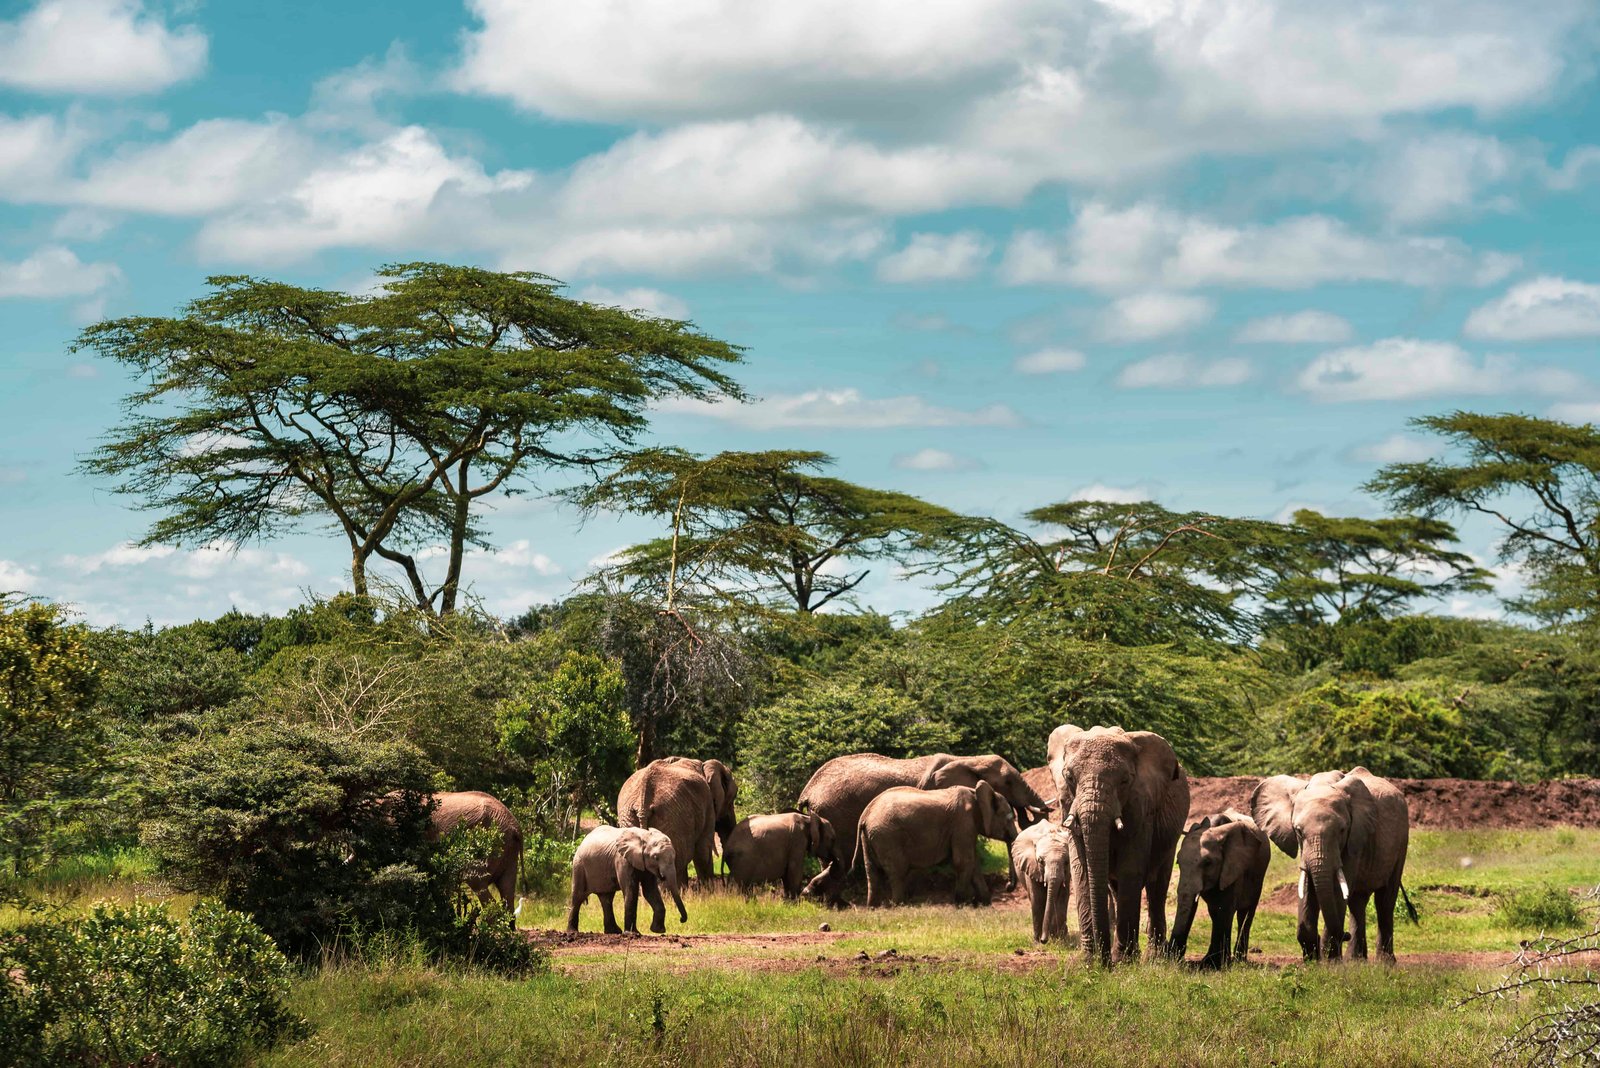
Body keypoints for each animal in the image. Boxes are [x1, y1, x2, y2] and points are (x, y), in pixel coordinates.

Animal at [618, 756, 737, 887]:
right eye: (732, 800)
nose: (726, 884)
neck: (704, 765)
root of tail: (642, 803)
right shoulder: (707, 803)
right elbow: (703, 850)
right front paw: (708, 891)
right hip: (670, 818)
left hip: (629, 817)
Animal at [854, 783, 1019, 907]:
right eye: (1010, 819)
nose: (1008, 886)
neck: (975, 794)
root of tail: (865, 815)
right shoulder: (963, 822)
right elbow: (963, 861)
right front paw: (961, 903)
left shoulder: (967, 827)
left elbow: (973, 862)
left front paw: (983, 903)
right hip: (887, 836)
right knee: (897, 872)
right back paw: (899, 905)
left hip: (871, 837)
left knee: (872, 872)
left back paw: (874, 907)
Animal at [1048, 724, 1189, 964]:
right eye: (1069, 778)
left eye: (1124, 781)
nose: (1103, 962)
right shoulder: (1068, 805)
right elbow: (1081, 870)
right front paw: (1088, 961)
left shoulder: (1141, 808)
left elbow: (1130, 869)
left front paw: (1123, 961)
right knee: (1116, 888)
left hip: (1170, 838)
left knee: (1157, 886)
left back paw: (1154, 958)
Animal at [1167, 810, 1270, 968]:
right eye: (1178, 862)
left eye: (1207, 863)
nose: (1171, 955)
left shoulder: (1233, 866)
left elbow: (1225, 908)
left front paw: (1213, 964)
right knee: (1215, 912)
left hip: (1259, 876)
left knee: (1245, 914)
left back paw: (1239, 960)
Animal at [1251, 767, 1411, 962]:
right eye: (1298, 831)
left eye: (1342, 830)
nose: (1345, 935)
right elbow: (1308, 887)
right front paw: (1312, 960)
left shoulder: (1354, 839)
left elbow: (1336, 890)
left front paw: (1330, 962)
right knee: (1357, 902)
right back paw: (1355, 960)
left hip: (1401, 840)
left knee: (1385, 901)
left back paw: (1384, 963)